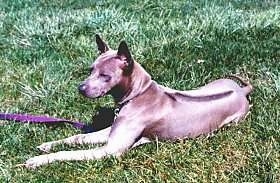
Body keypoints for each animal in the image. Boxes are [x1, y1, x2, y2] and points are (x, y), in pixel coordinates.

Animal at [23, 34, 252, 169]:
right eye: (91, 70)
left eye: (105, 76)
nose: (81, 89)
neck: (138, 94)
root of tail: (242, 90)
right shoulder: (108, 133)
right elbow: (77, 138)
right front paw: (48, 145)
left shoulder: (109, 151)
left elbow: (69, 153)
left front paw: (38, 160)